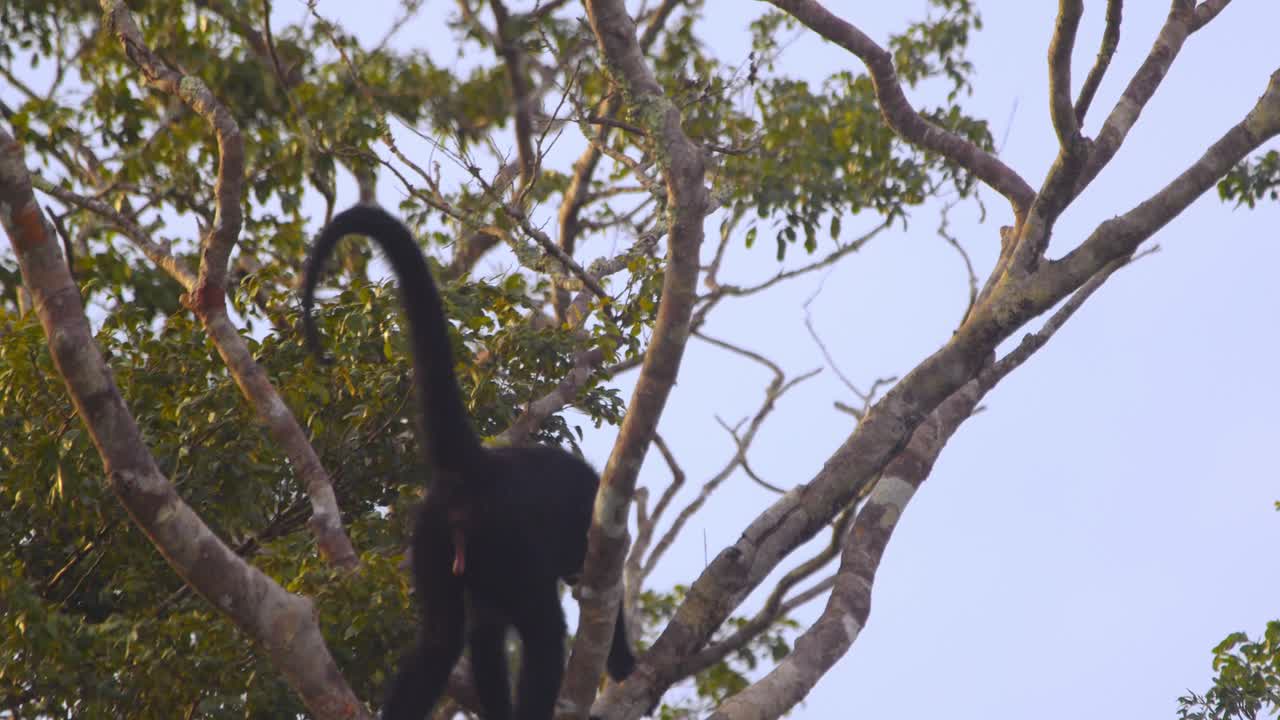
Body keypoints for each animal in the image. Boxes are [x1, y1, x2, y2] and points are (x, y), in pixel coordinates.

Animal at [301, 205, 635, 720]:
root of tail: (476, 468)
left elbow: (483, 633)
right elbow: (598, 596)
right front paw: (622, 660)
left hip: (434, 536)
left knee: (442, 641)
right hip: (503, 537)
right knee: (542, 630)